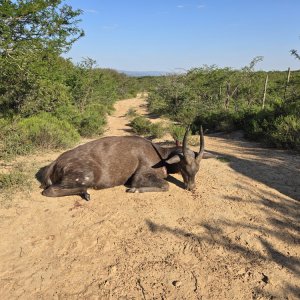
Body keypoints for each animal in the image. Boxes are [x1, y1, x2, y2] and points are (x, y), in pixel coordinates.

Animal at [38, 125, 206, 200]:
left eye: (197, 169)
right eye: (184, 166)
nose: (191, 187)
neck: (161, 156)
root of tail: (54, 163)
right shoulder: (138, 176)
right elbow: (165, 185)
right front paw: (134, 190)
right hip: (87, 176)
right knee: (49, 191)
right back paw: (85, 193)